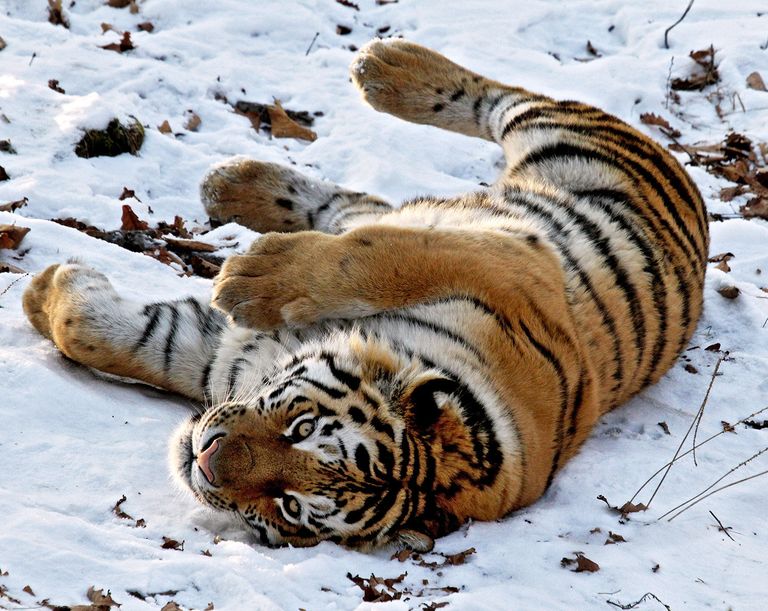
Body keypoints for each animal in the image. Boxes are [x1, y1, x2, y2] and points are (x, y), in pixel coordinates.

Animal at [22, 40, 708, 552]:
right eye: (301, 427)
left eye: (290, 506)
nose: (207, 460)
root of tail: (696, 204)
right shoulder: (513, 260)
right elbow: (380, 254)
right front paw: (252, 276)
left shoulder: (223, 358)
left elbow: (131, 336)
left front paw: (43, 291)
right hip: (557, 142)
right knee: (491, 109)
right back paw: (380, 71)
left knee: (366, 199)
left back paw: (241, 178)